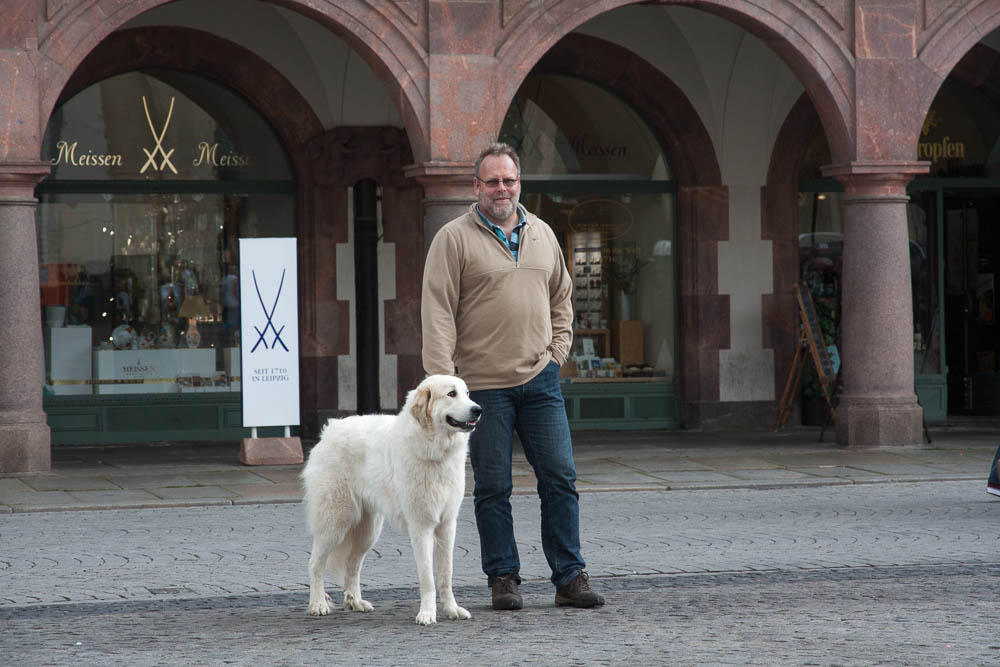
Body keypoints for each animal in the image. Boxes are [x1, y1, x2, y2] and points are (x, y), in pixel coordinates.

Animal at [300, 376, 480, 628]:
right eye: (451, 394)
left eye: (467, 393)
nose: (478, 409)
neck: (433, 452)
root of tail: (329, 430)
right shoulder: (421, 527)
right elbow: (428, 578)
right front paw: (427, 614)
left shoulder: (447, 525)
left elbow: (446, 573)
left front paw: (452, 609)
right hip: (335, 523)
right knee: (314, 563)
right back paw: (317, 604)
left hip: (368, 531)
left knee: (352, 565)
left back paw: (356, 602)